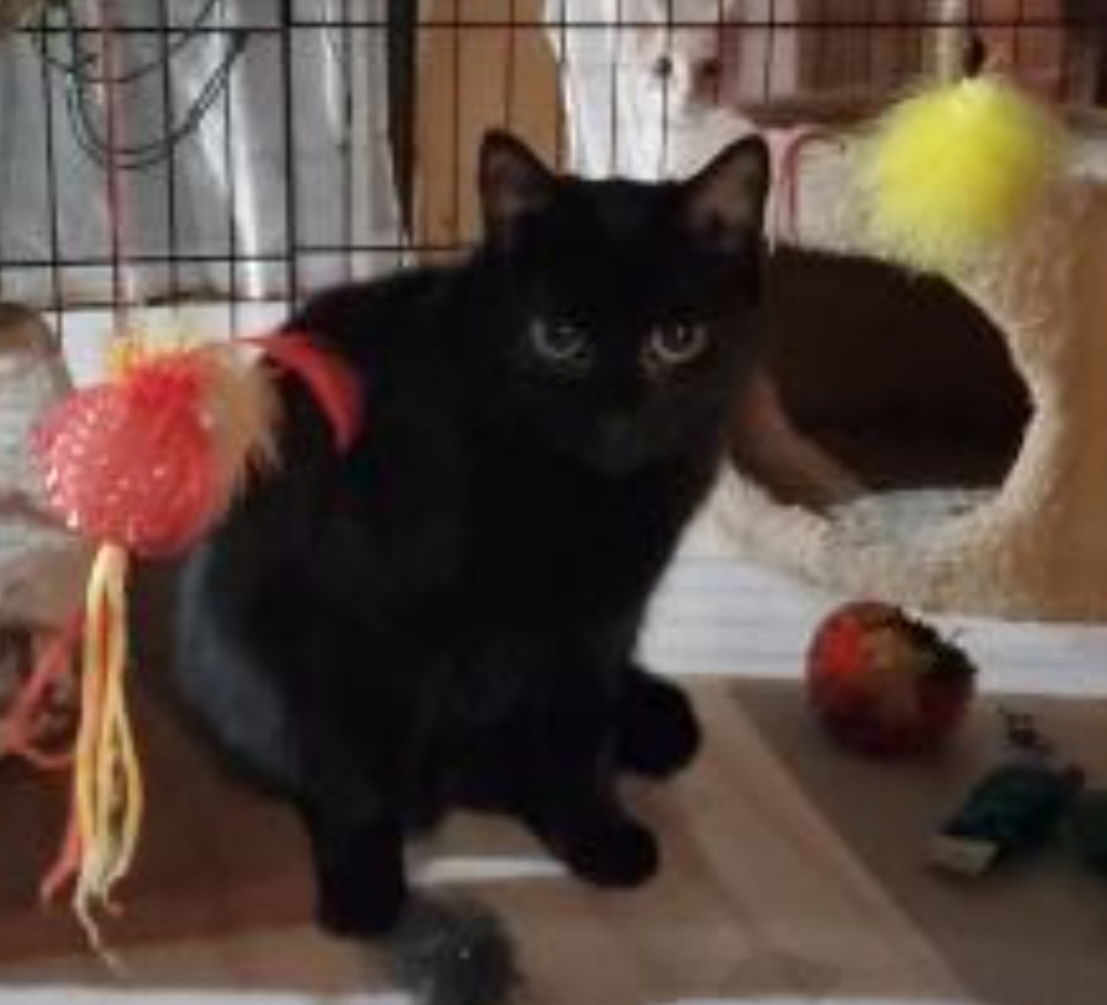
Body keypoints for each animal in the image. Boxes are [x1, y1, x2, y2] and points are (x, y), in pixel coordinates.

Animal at [166, 129, 770, 938]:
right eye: (559, 337)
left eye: (678, 338)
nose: (621, 408)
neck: (571, 494)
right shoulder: (357, 625)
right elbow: (350, 765)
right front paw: (364, 887)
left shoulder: (597, 626)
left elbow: (579, 737)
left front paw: (593, 837)